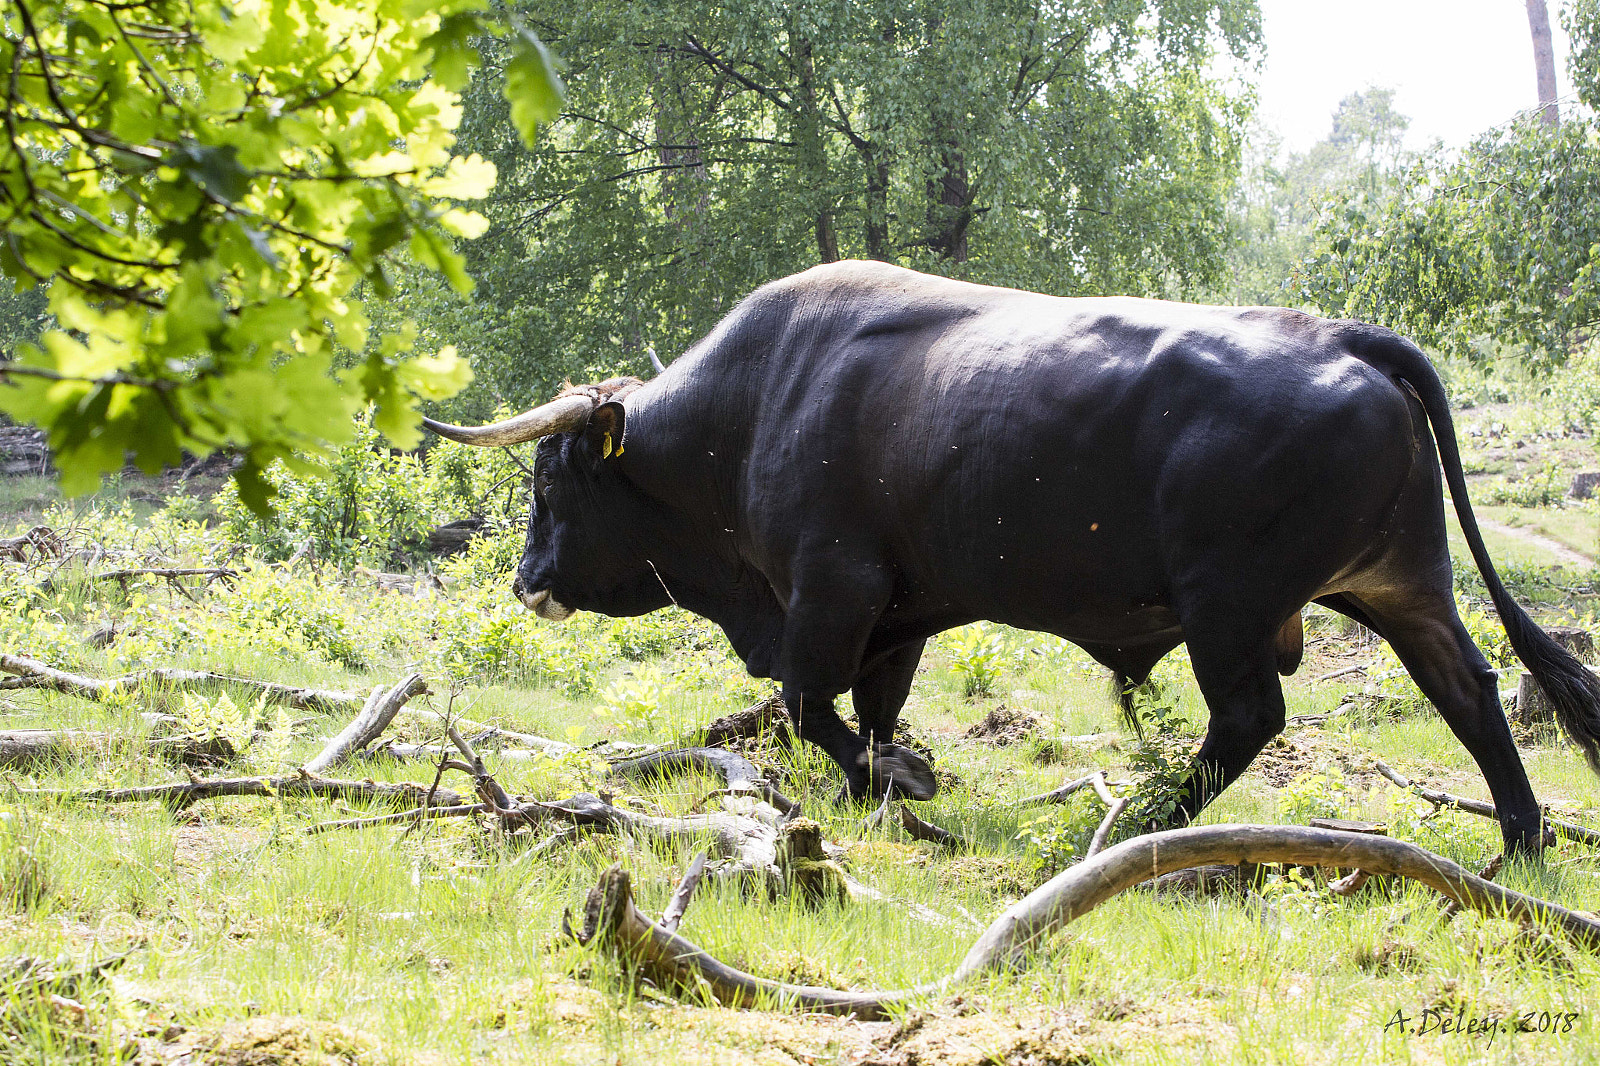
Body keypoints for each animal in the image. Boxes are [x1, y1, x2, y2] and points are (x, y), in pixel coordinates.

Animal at [425, 260, 1600, 855]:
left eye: (549, 483)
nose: (527, 580)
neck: (753, 405)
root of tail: (1342, 335)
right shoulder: (894, 616)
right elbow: (869, 712)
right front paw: (886, 793)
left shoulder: (831, 591)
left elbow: (810, 704)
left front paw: (903, 786)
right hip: (1403, 589)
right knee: (1471, 690)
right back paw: (1521, 843)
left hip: (1228, 608)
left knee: (1247, 720)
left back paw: (1142, 824)